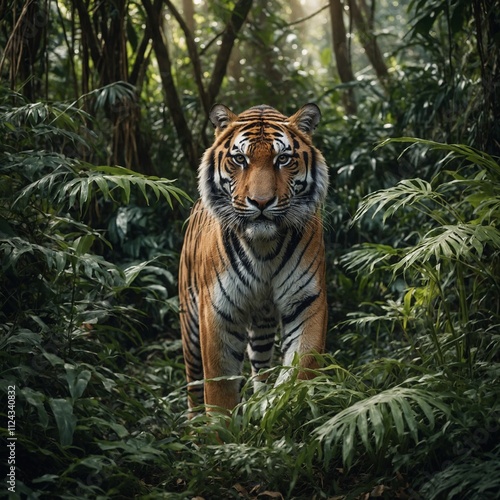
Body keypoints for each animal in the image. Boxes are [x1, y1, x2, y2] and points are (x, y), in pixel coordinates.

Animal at [178, 101, 330, 414]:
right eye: (240, 159)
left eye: (283, 159)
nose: (261, 202)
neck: (263, 249)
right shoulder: (218, 310)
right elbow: (220, 388)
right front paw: (220, 427)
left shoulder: (307, 301)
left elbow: (301, 367)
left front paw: (284, 408)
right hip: (190, 327)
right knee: (194, 386)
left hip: (262, 324)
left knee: (260, 367)